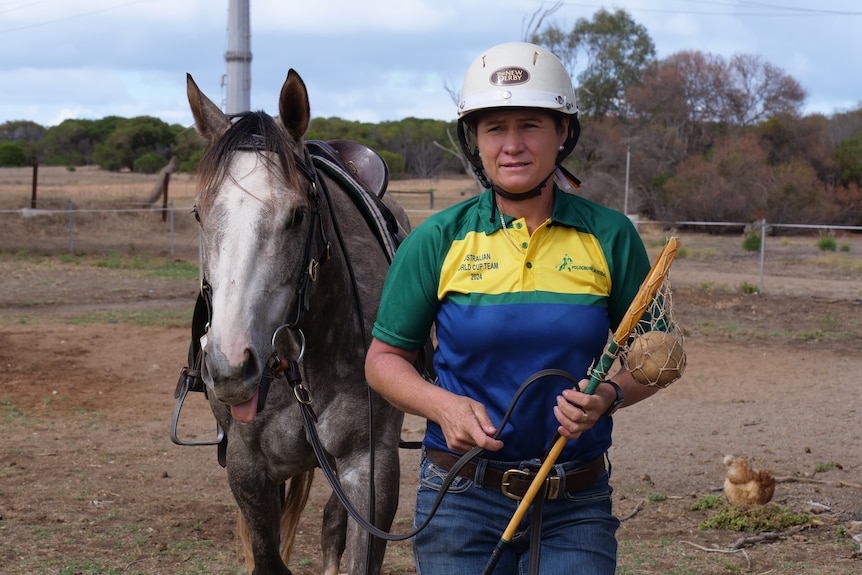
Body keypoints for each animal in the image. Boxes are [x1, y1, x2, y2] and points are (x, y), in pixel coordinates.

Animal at [184, 69, 409, 575]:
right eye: (197, 213)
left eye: (298, 214)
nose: (230, 367)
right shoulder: (248, 469)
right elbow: (268, 558)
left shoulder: (371, 469)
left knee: (331, 525)